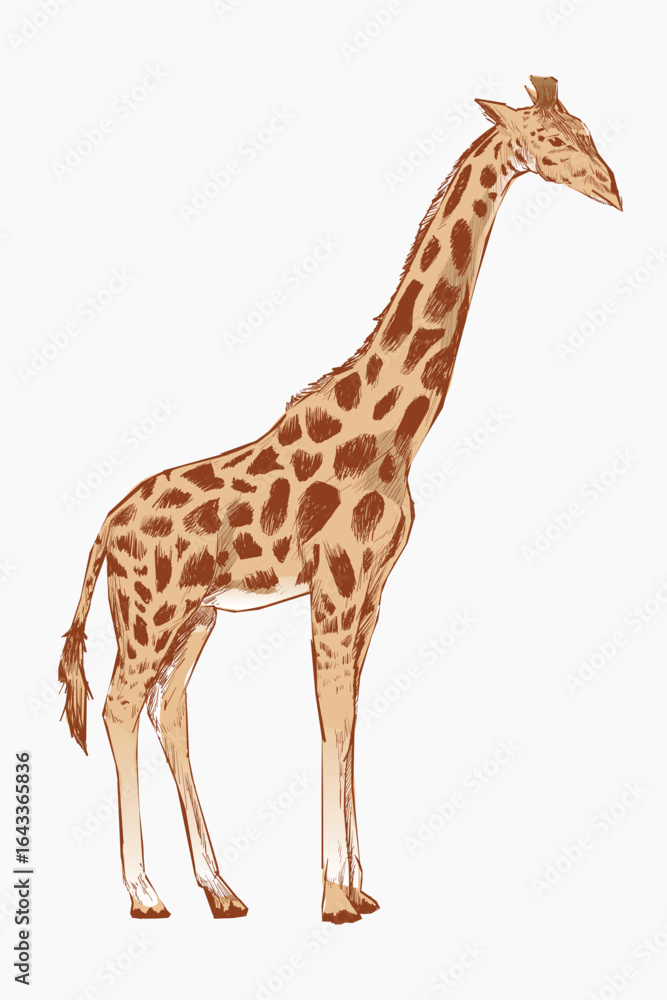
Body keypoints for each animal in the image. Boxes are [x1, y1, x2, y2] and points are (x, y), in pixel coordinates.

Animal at [59, 77, 621, 923]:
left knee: (169, 712)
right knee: (120, 709)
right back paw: (146, 894)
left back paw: (220, 890)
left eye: (585, 129)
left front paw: (359, 886)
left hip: (194, 616)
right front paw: (332, 896)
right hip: (152, 613)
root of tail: (102, 530)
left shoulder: (373, 592)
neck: (391, 433)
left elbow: (351, 720)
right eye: (552, 141)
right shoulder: (337, 583)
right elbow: (331, 720)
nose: (614, 190)